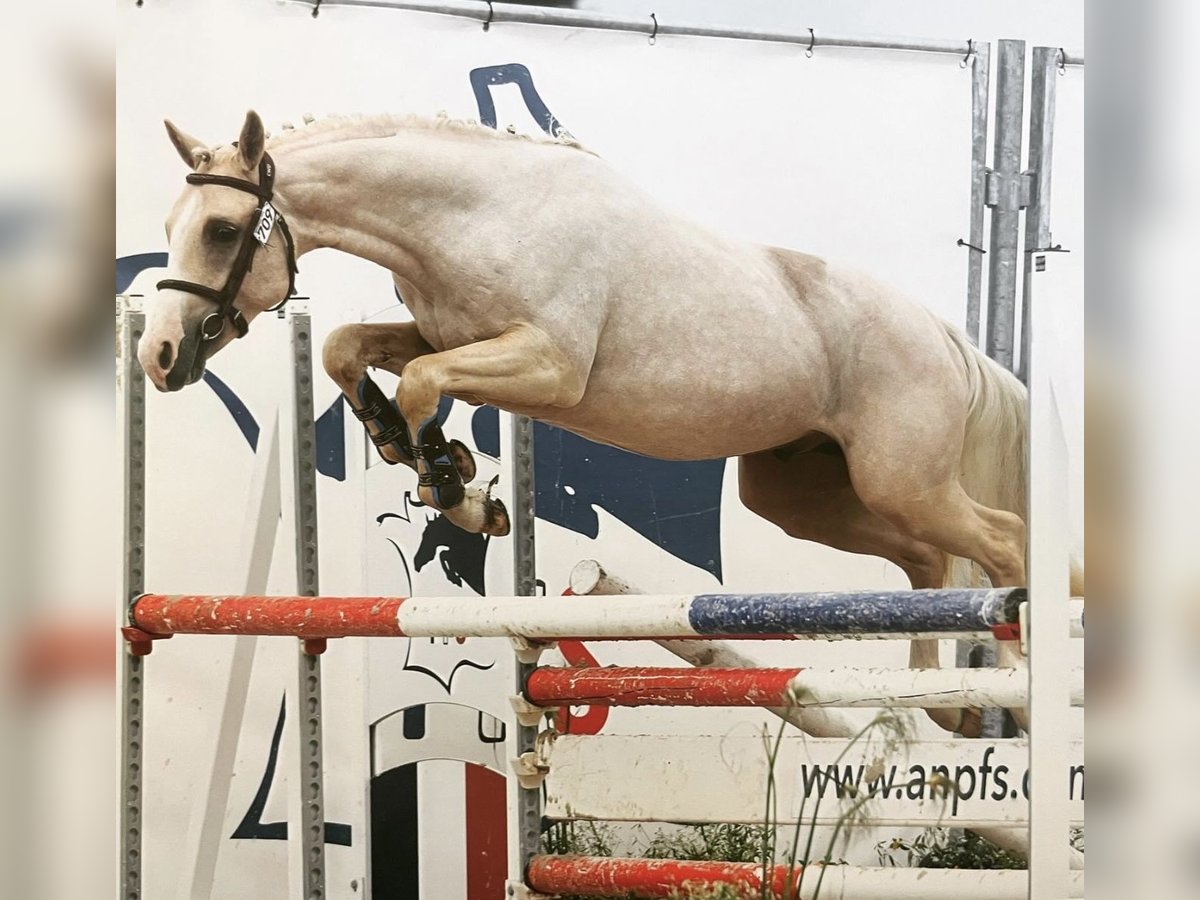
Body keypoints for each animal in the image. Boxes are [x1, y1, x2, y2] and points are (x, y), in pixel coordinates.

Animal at [138, 112, 1070, 734]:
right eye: (172, 228)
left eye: (222, 230)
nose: (159, 355)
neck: (468, 215)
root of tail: (947, 339)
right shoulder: (446, 336)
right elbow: (347, 349)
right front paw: (414, 451)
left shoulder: (547, 367)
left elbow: (425, 386)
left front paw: (456, 487)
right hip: (807, 496)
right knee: (930, 561)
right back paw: (941, 708)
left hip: (900, 477)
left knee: (1003, 540)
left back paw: (1018, 681)